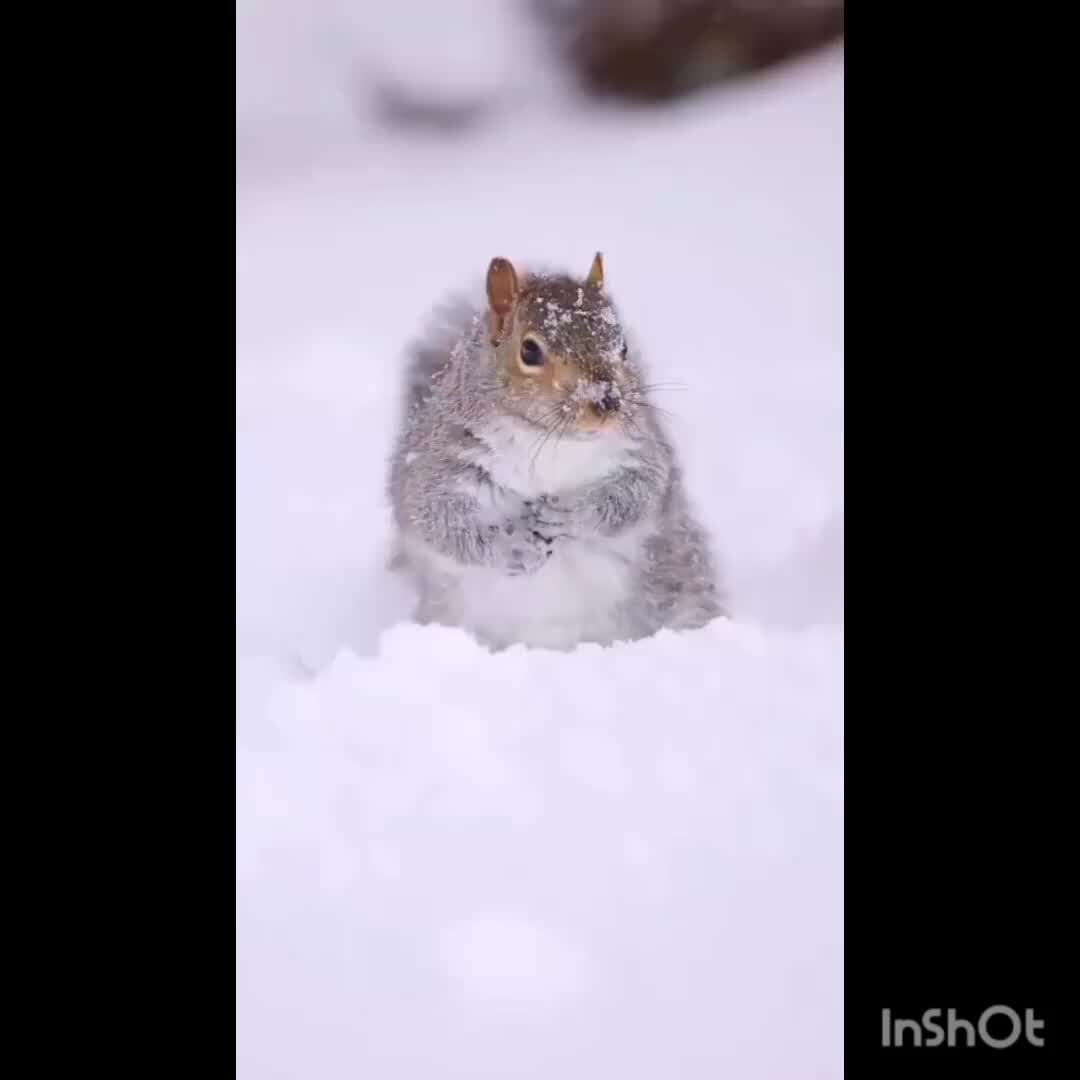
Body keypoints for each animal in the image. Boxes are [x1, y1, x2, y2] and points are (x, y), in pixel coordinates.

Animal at [384, 252, 730, 648]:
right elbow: (440, 521)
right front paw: (512, 545)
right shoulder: (440, 462)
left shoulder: (642, 451)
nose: (607, 401)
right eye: (529, 350)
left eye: (623, 346)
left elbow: (635, 496)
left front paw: (570, 512)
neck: (551, 440)